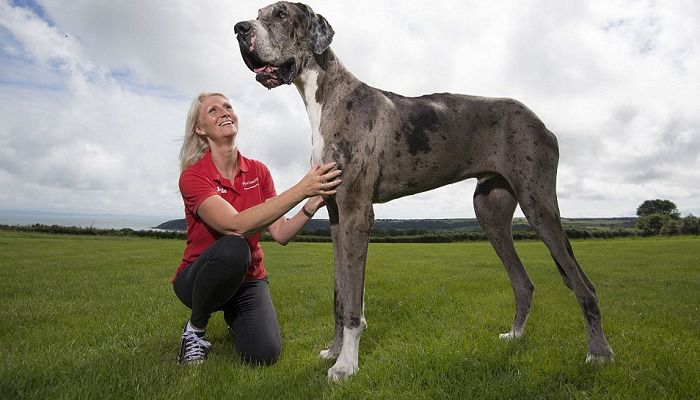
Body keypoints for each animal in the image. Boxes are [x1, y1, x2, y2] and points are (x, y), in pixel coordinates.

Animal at [234, 0, 612, 382]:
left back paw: (598, 353)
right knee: (524, 283)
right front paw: (335, 351)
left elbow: (353, 302)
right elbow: (340, 296)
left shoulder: (357, 213)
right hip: (489, 211)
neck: (326, 97)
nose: (239, 28)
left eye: (281, 14)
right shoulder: (336, 217)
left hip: (538, 205)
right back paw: (516, 335)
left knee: (584, 285)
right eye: (259, 13)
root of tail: (540, 121)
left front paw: (346, 366)